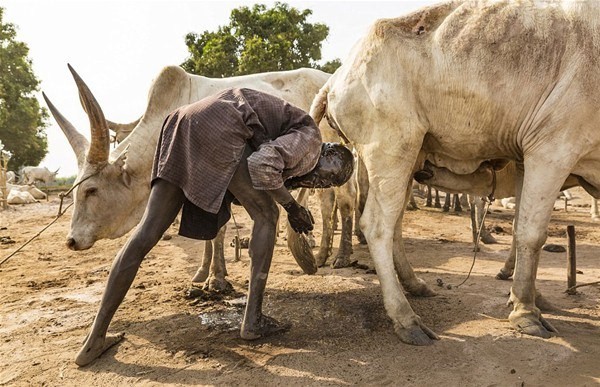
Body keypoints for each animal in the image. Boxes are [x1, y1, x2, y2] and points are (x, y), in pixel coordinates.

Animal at [310, 1, 600, 344]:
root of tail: (336, 78)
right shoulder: (552, 149)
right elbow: (532, 234)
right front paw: (526, 313)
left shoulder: (524, 160)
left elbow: (520, 228)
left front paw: (527, 297)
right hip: (391, 147)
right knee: (378, 226)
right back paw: (406, 318)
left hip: (409, 158)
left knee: (395, 224)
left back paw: (415, 286)